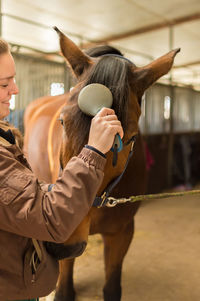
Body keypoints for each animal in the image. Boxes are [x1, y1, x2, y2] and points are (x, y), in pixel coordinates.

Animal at [23, 29, 180, 300]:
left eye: (129, 137)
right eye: (62, 122)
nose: (63, 243)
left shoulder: (121, 233)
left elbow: (112, 287)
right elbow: (63, 291)